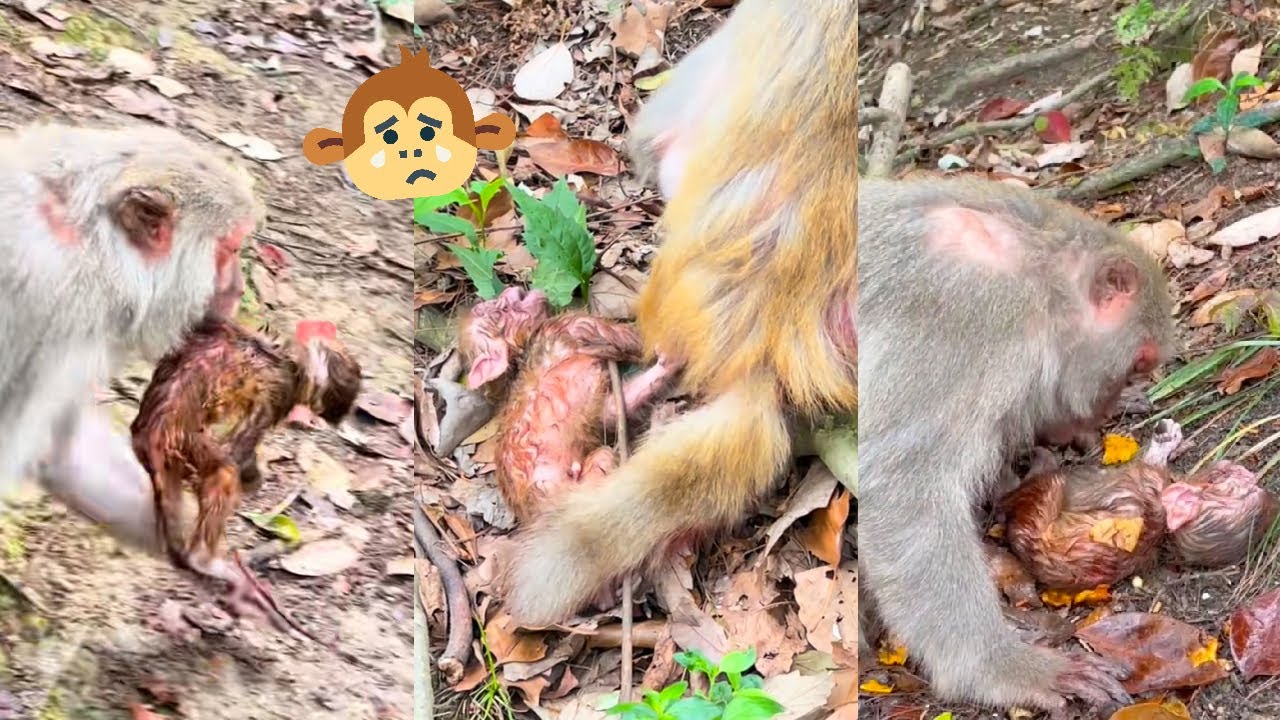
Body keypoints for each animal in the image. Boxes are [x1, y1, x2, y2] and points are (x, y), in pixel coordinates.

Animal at [130, 316, 361, 630]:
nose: (338, 418)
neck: (289, 354)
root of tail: (151, 432)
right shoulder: (281, 388)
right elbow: (239, 452)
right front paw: (252, 476)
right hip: (182, 441)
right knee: (225, 470)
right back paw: (203, 560)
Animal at [858, 175, 1177, 714]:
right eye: (1137, 363)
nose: (1101, 412)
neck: (1039, 278)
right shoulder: (973, 319)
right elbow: (902, 487)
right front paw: (1002, 667)